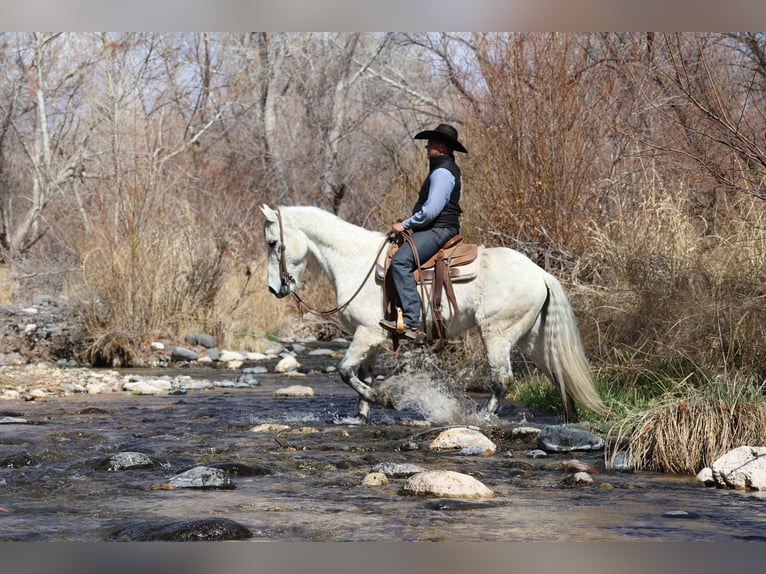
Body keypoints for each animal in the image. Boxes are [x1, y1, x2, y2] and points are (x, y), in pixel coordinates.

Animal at [260, 205, 607, 424]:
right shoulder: (371, 338)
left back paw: (481, 417)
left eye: (273, 242)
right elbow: (364, 376)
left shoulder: (367, 333)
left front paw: (386, 401)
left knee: (502, 380)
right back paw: (570, 418)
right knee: (556, 370)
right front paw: (360, 417)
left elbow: (345, 371)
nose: (274, 289)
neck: (355, 261)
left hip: (497, 333)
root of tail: (540, 273)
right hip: (531, 337)